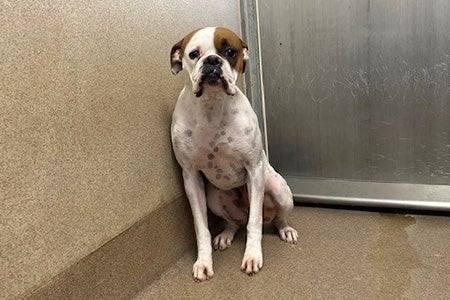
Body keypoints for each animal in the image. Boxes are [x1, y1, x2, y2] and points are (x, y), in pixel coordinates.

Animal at [171, 25, 298, 282]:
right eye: (194, 54)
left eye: (230, 51)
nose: (212, 61)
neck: (212, 105)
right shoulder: (190, 178)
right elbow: (201, 228)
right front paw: (203, 262)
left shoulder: (254, 169)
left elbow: (254, 223)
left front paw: (252, 256)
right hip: (214, 197)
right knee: (234, 222)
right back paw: (225, 235)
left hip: (279, 191)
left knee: (273, 217)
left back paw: (285, 230)